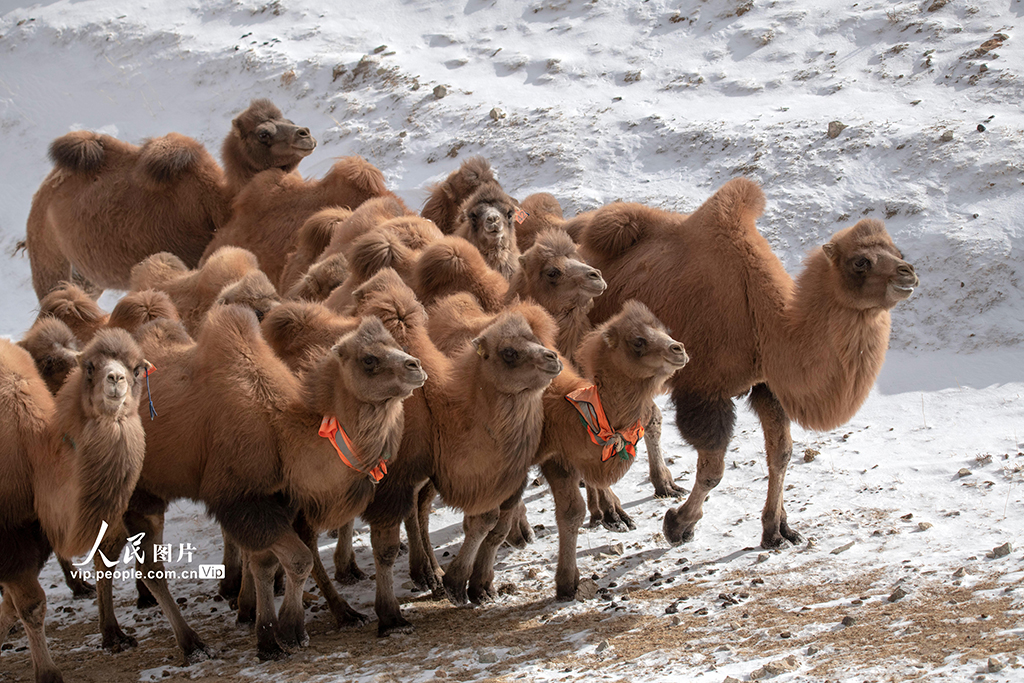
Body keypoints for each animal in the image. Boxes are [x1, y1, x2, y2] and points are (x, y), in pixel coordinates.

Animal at [0, 327, 150, 679]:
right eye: (90, 367)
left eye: (137, 369)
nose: (116, 379)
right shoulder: (10, 533)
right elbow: (30, 605)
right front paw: (48, 674)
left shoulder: (35, 530)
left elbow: (16, 606)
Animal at [24, 98, 311, 296]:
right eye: (263, 134)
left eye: (289, 119)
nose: (305, 134)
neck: (221, 203)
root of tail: (42, 194)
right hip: (49, 261)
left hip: (85, 279)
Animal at [96, 307, 428, 659]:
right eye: (369, 359)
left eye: (396, 345)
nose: (416, 366)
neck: (280, 432)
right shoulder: (242, 500)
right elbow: (299, 559)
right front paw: (288, 632)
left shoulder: (277, 498)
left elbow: (266, 564)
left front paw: (271, 633)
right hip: (137, 494)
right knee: (142, 564)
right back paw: (184, 643)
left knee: (116, 553)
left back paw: (118, 634)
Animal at [569, 178, 921, 548]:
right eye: (861, 262)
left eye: (898, 253)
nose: (908, 273)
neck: (762, 318)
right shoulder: (706, 390)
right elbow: (713, 470)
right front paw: (679, 525)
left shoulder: (765, 386)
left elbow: (781, 454)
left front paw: (778, 530)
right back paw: (611, 513)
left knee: (643, 418)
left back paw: (658, 486)